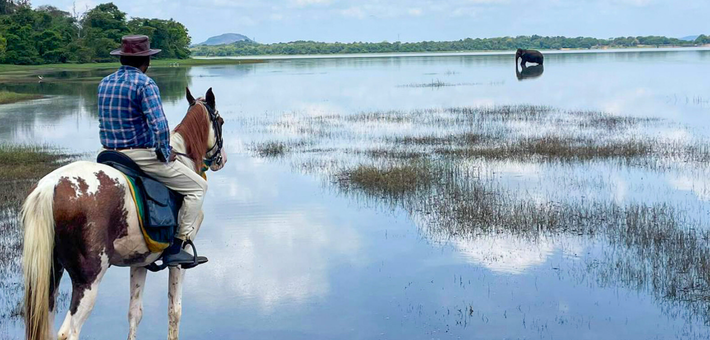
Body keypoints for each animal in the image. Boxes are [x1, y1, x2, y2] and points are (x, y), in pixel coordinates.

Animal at [21, 86, 228, 338]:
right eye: (220, 121)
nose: (222, 160)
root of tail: (50, 186)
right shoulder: (181, 259)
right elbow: (175, 311)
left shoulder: (138, 261)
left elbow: (134, 314)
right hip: (88, 281)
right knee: (68, 331)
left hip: (51, 276)